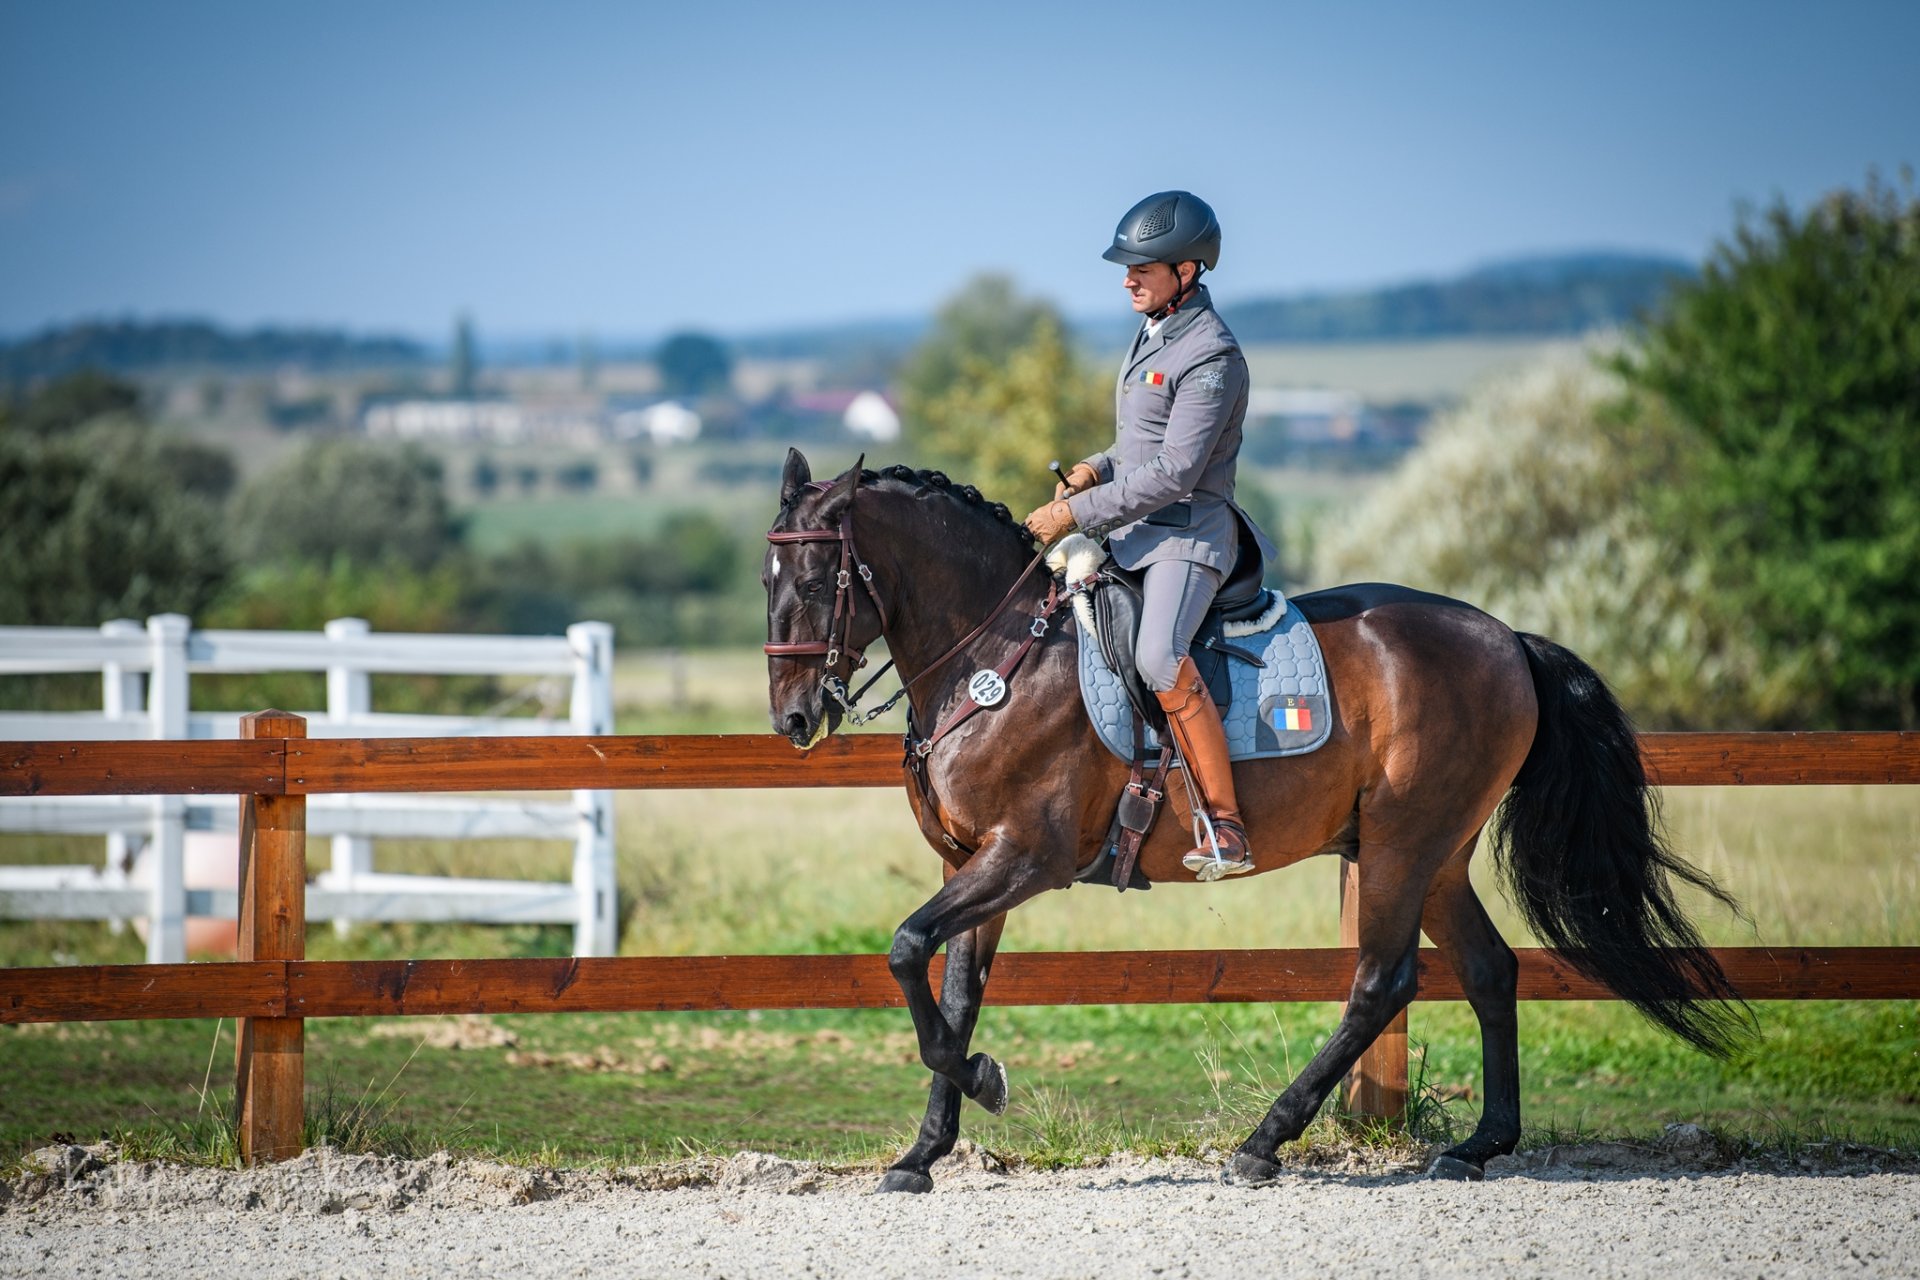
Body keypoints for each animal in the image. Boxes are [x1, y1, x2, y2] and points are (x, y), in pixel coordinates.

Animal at [760, 450, 1743, 1189]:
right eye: (769, 576)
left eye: (816, 577)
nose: (794, 721)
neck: (998, 657)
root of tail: (1506, 638)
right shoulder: (969, 861)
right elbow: (954, 989)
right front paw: (923, 1152)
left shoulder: (1026, 858)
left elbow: (905, 949)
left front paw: (984, 1083)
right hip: (1439, 854)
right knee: (1489, 970)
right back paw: (1478, 1146)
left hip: (1401, 844)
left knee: (1382, 981)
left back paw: (1265, 1143)